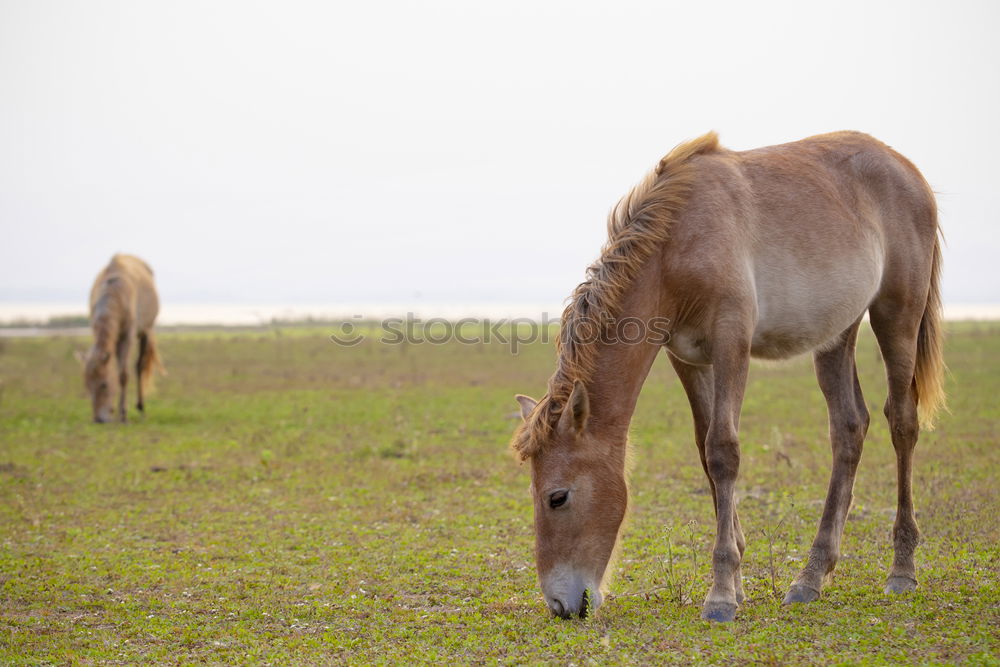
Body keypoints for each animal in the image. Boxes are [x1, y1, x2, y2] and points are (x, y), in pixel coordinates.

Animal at [80, 256, 163, 422]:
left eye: (104, 385)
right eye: (87, 385)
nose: (98, 419)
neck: (116, 293)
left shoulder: (127, 336)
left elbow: (123, 374)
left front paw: (123, 414)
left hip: (146, 331)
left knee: (140, 366)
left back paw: (141, 407)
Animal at [512, 133, 940, 624]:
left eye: (557, 497)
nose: (560, 605)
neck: (675, 243)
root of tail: (907, 169)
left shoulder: (731, 341)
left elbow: (723, 452)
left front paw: (719, 595)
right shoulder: (687, 357)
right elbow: (705, 452)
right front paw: (735, 582)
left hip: (897, 317)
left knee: (902, 423)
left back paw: (902, 570)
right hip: (837, 333)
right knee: (849, 429)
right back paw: (811, 577)